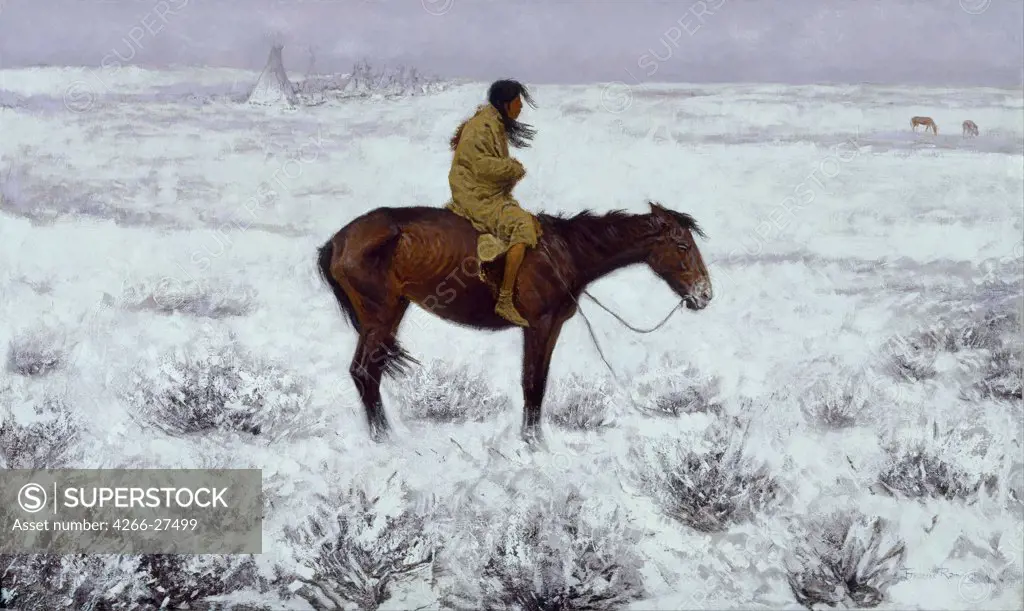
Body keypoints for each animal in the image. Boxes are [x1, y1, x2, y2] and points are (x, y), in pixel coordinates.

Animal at [317, 200, 712, 444]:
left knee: (367, 371)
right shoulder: (538, 326)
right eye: (682, 246)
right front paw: (533, 442)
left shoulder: (551, 328)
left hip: (391, 313)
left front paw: (533, 437)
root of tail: (337, 241)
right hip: (379, 317)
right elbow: (531, 382)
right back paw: (384, 438)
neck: (564, 252)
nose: (705, 294)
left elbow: (539, 383)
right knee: (364, 372)